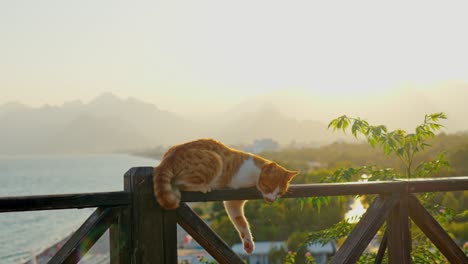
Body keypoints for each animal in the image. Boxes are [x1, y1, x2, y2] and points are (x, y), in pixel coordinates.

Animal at [154, 138, 300, 254]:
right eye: (268, 187)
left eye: (280, 193)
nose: (271, 200)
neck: (255, 175)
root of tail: (168, 157)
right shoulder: (235, 186)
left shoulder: (234, 202)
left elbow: (240, 222)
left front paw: (248, 242)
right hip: (214, 159)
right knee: (179, 183)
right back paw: (204, 186)